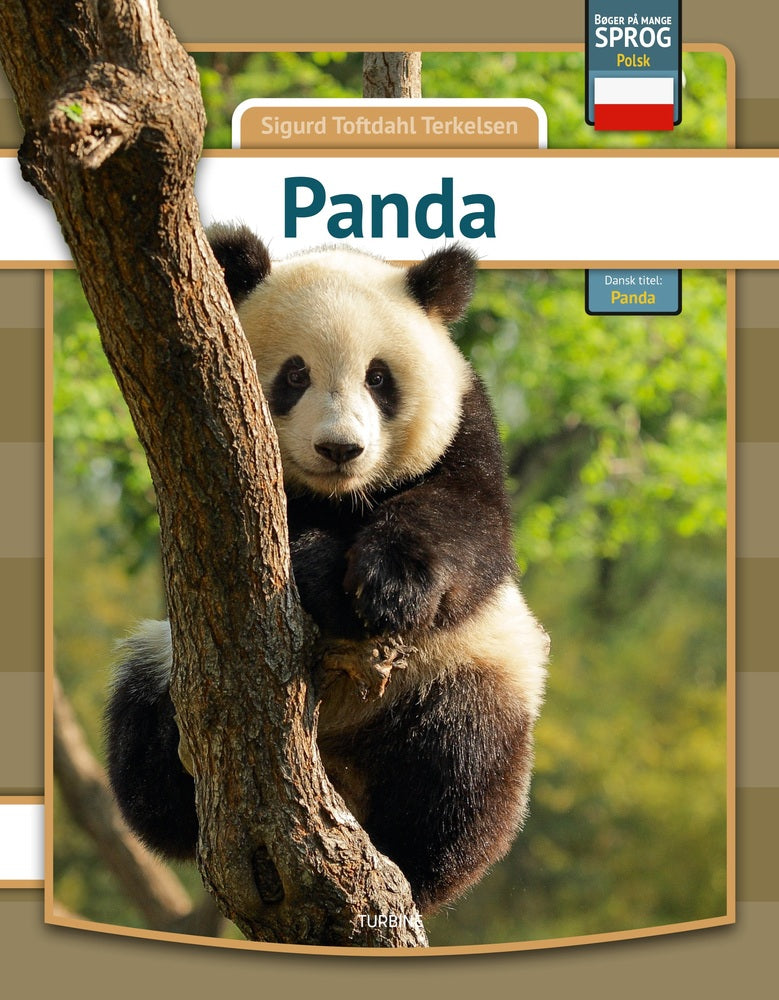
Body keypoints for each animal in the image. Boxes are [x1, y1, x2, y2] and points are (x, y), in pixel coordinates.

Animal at [105, 225, 549, 916]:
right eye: (295, 374)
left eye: (378, 378)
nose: (340, 448)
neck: (340, 497)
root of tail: (338, 770)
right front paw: (318, 569)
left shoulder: (466, 428)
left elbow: (470, 528)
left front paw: (383, 585)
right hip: (173, 659)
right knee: (143, 731)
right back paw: (178, 784)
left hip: (461, 670)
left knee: (463, 762)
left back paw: (414, 863)